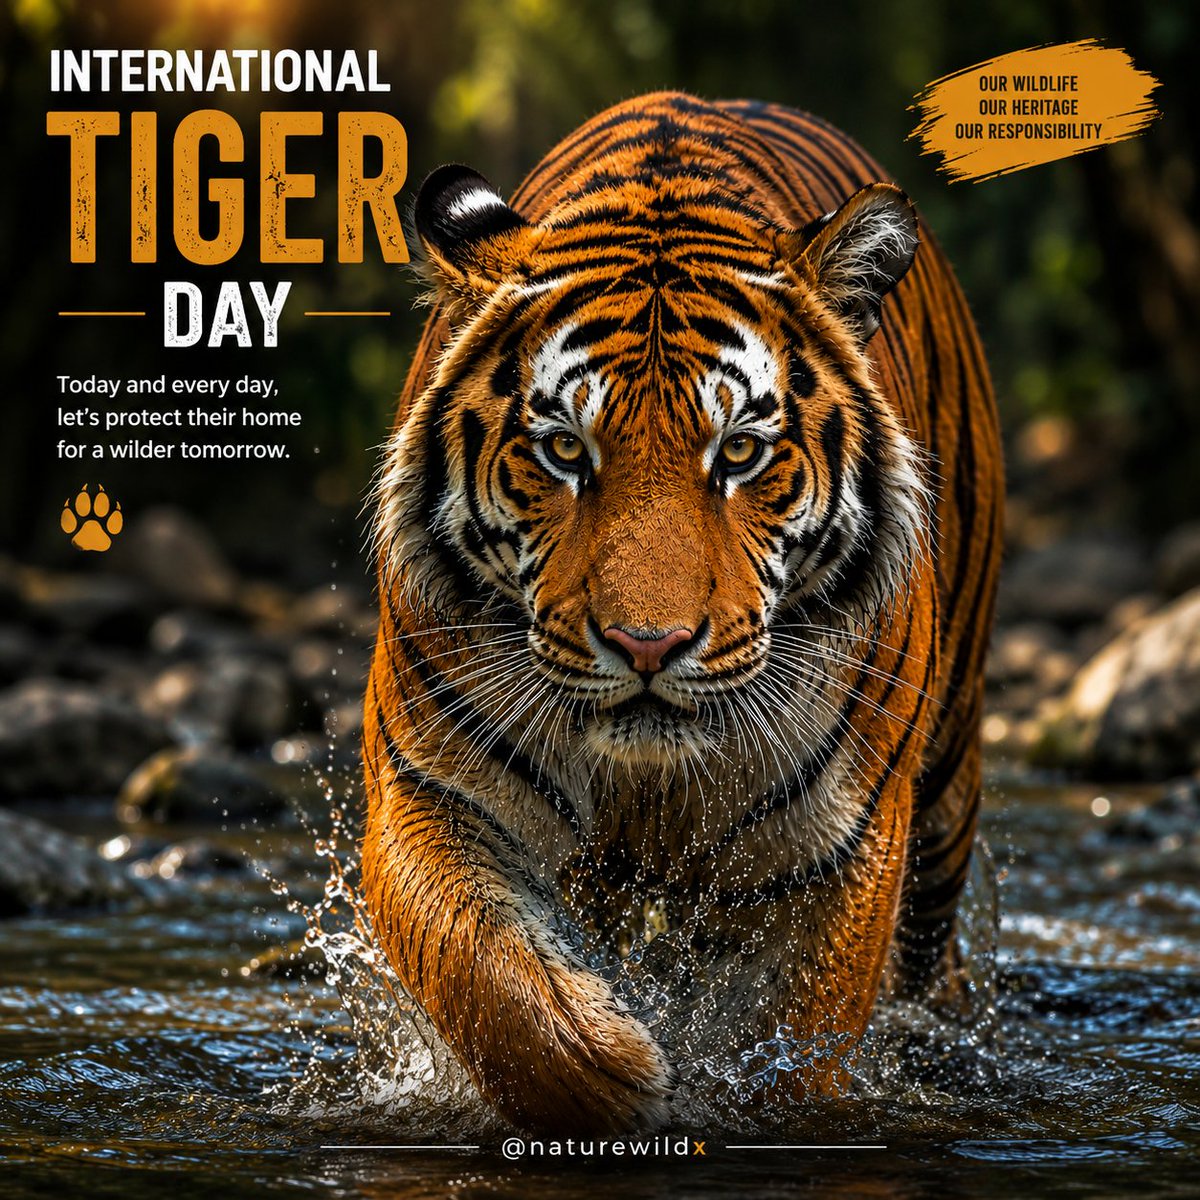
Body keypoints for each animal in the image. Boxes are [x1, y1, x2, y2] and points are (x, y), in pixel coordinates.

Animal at [362, 91, 1002, 1134]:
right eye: (564, 450)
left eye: (739, 452)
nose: (647, 645)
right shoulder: (432, 785)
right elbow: (485, 972)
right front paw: (617, 1070)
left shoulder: (842, 845)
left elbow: (796, 1047)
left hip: (945, 782)